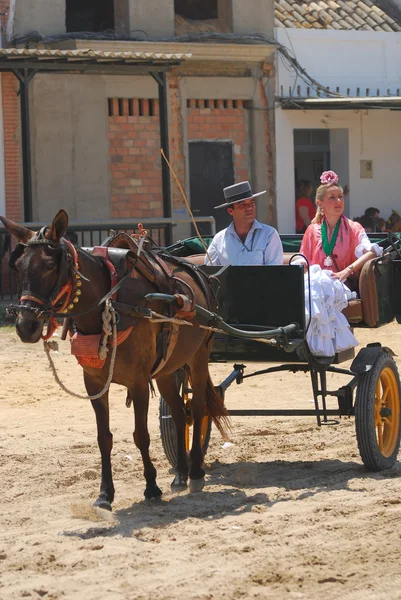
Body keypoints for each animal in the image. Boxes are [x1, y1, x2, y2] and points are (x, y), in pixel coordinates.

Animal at [1, 209, 228, 508]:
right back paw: (180, 474)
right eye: (18, 266)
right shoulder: (95, 383)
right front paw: (105, 494)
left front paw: (151, 487)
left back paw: (197, 472)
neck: (112, 303)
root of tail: (200, 273)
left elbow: (141, 435)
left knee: (198, 409)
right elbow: (104, 438)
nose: (25, 325)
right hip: (168, 369)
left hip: (199, 356)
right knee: (180, 413)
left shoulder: (139, 383)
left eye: (50, 265)